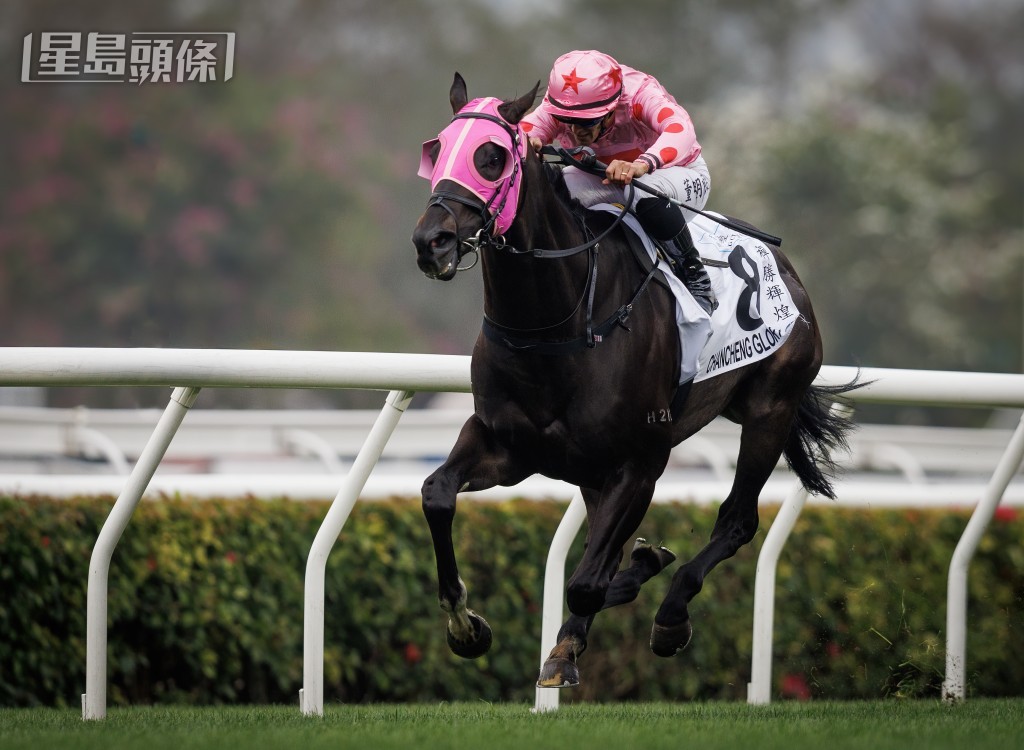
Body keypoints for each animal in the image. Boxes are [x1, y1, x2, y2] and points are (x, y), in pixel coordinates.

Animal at [411, 73, 858, 690]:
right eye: (436, 151)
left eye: (492, 157)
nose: (431, 242)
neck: (560, 322)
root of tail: (787, 271)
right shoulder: (508, 445)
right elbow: (437, 495)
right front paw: (466, 627)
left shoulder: (642, 460)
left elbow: (586, 581)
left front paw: (575, 638)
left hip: (771, 409)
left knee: (736, 521)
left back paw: (669, 614)